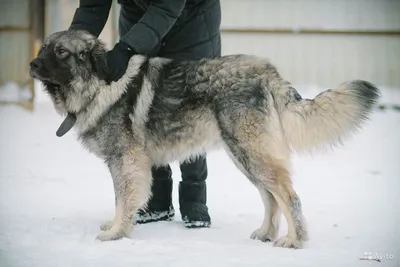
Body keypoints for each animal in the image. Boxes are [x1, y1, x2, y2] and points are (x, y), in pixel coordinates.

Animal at [29, 29, 380, 249]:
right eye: (44, 48)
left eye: (61, 52)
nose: (32, 64)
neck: (99, 83)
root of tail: (269, 74)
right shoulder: (127, 163)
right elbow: (123, 199)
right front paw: (116, 227)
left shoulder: (125, 161)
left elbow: (122, 199)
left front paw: (117, 233)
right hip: (244, 156)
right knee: (270, 197)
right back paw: (265, 233)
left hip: (251, 153)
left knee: (287, 196)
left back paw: (294, 240)